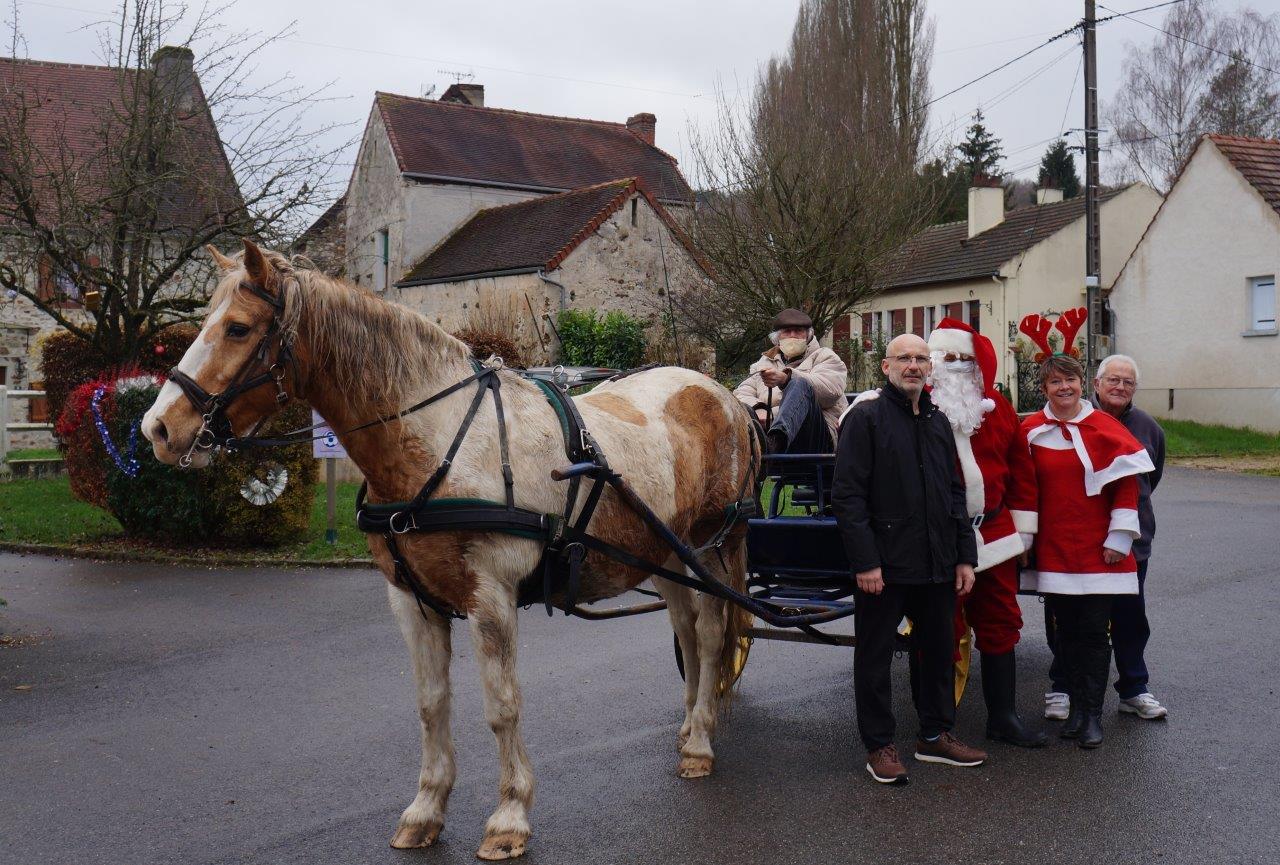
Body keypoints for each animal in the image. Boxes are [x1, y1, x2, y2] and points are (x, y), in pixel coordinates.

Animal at [140, 239, 757, 859]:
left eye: (238, 328)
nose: (158, 428)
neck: (439, 440)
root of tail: (719, 393)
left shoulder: (492, 598)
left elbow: (502, 706)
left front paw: (509, 816)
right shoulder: (411, 601)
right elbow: (431, 704)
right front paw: (426, 808)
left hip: (713, 545)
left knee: (709, 633)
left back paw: (700, 742)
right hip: (667, 555)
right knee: (685, 630)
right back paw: (690, 726)